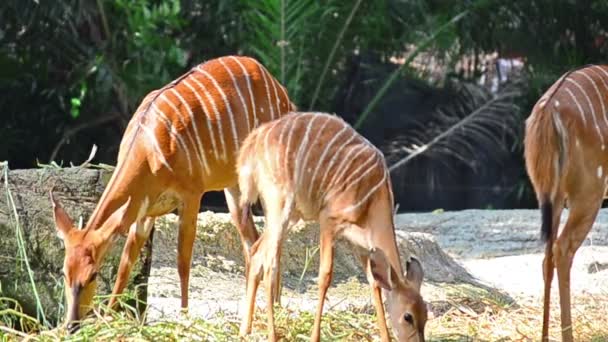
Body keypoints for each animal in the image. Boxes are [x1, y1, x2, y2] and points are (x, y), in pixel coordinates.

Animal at [49, 55, 294, 332]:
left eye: (93, 275)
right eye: (64, 272)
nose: (71, 324)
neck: (148, 149)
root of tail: (282, 93)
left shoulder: (191, 196)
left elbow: (182, 262)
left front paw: (184, 317)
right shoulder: (144, 211)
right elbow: (125, 264)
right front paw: (110, 316)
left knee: (274, 236)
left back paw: (276, 308)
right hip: (233, 188)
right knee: (251, 242)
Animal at [235, 113, 426, 342]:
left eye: (426, 315)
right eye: (408, 317)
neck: (374, 199)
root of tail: (252, 142)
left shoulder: (361, 245)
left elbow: (374, 283)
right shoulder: (329, 220)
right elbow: (325, 275)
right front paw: (314, 337)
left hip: (291, 214)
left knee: (256, 251)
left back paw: (245, 329)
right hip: (280, 203)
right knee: (270, 263)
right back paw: (272, 335)